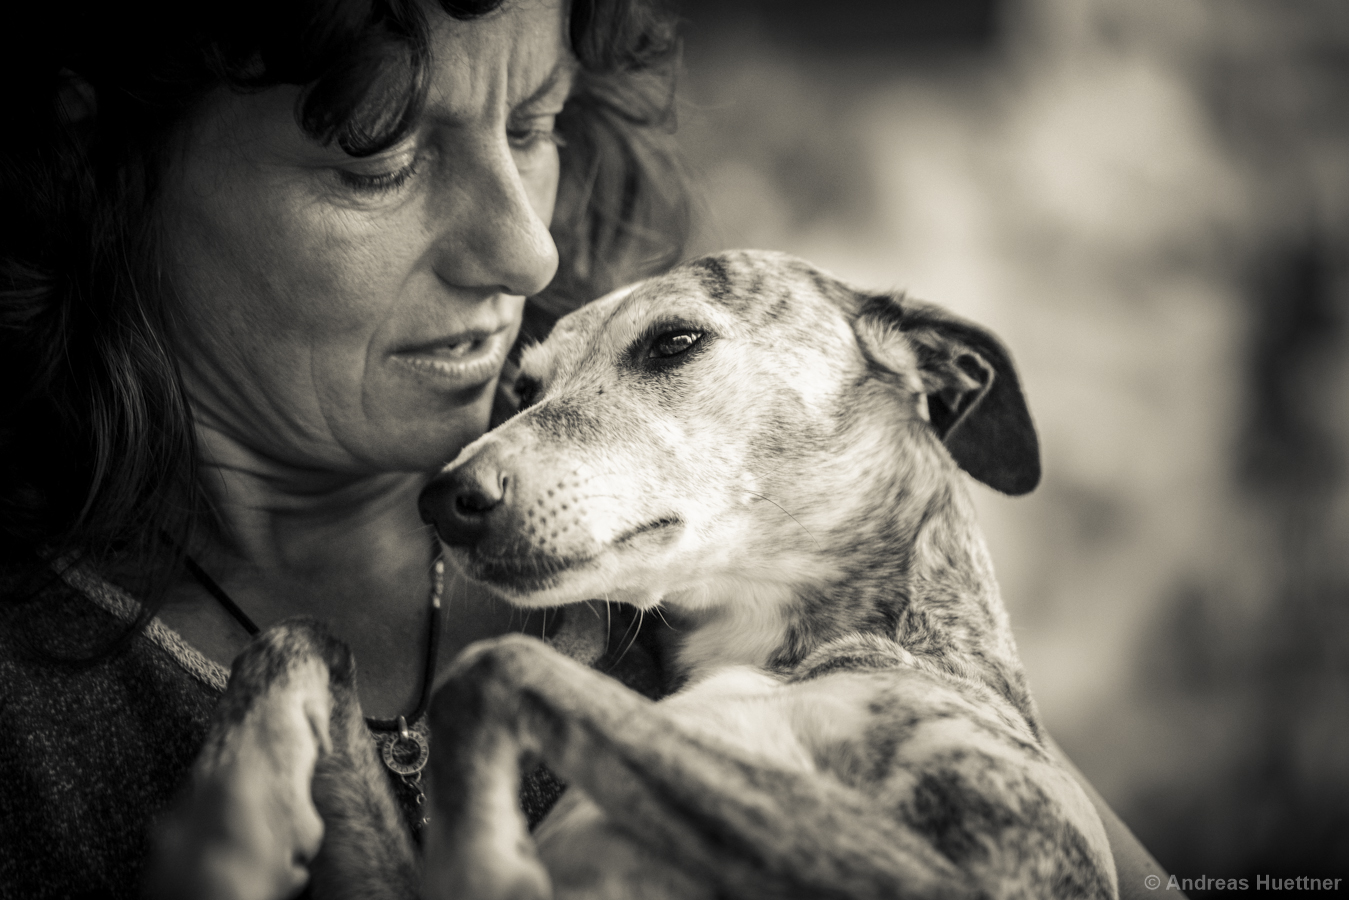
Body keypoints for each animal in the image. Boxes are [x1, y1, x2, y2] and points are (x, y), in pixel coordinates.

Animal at [147, 250, 1117, 900]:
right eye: (524, 388)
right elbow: (298, 632)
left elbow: (492, 667)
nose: (445, 500)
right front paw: (234, 822)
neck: (772, 651)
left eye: (674, 340)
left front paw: (486, 861)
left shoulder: (963, 873)